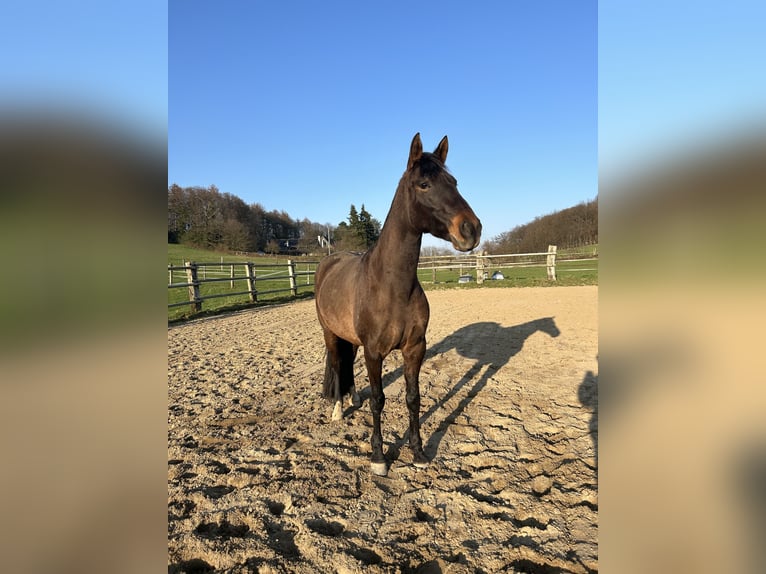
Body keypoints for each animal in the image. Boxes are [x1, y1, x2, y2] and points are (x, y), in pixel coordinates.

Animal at [316, 135, 484, 476]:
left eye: (454, 182)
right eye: (424, 184)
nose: (471, 229)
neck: (391, 286)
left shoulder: (414, 348)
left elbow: (413, 398)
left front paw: (418, 452)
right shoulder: (374, 351)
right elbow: (379, 400)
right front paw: (379, 457)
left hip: (351, 339)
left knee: (348, 366)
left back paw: (353, 398)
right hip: (331, 334)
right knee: (338, 367)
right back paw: (338, 410)